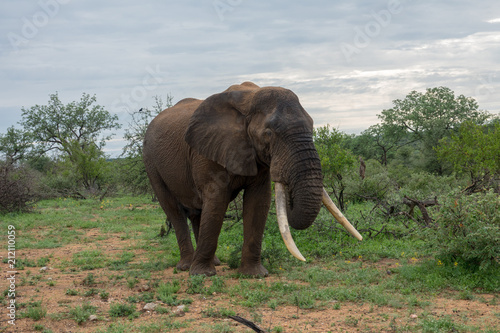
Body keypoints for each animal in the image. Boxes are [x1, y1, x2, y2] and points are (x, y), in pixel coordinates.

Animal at [143, 80, 362, 274]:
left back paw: (215, 262)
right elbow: (216, 200)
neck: (249, 98)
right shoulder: (207, 152)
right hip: (151, 162)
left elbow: (258, 201)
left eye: (312, 126)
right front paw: (202, 274)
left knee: (197, 212)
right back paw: (187, 267)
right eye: (269, 133)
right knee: (174, 209)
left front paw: (254, 274)